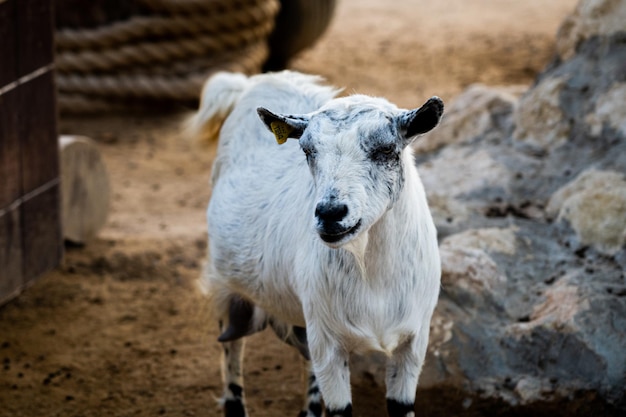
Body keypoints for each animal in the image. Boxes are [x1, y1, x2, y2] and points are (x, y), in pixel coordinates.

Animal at [193, 71, 442, 416]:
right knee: (232, 346)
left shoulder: (413, 344)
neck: (373, 278)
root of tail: (254, 82)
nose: (329, 213)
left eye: (385, 149)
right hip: (225, 286)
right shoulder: (329, 345)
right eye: (308, 151)